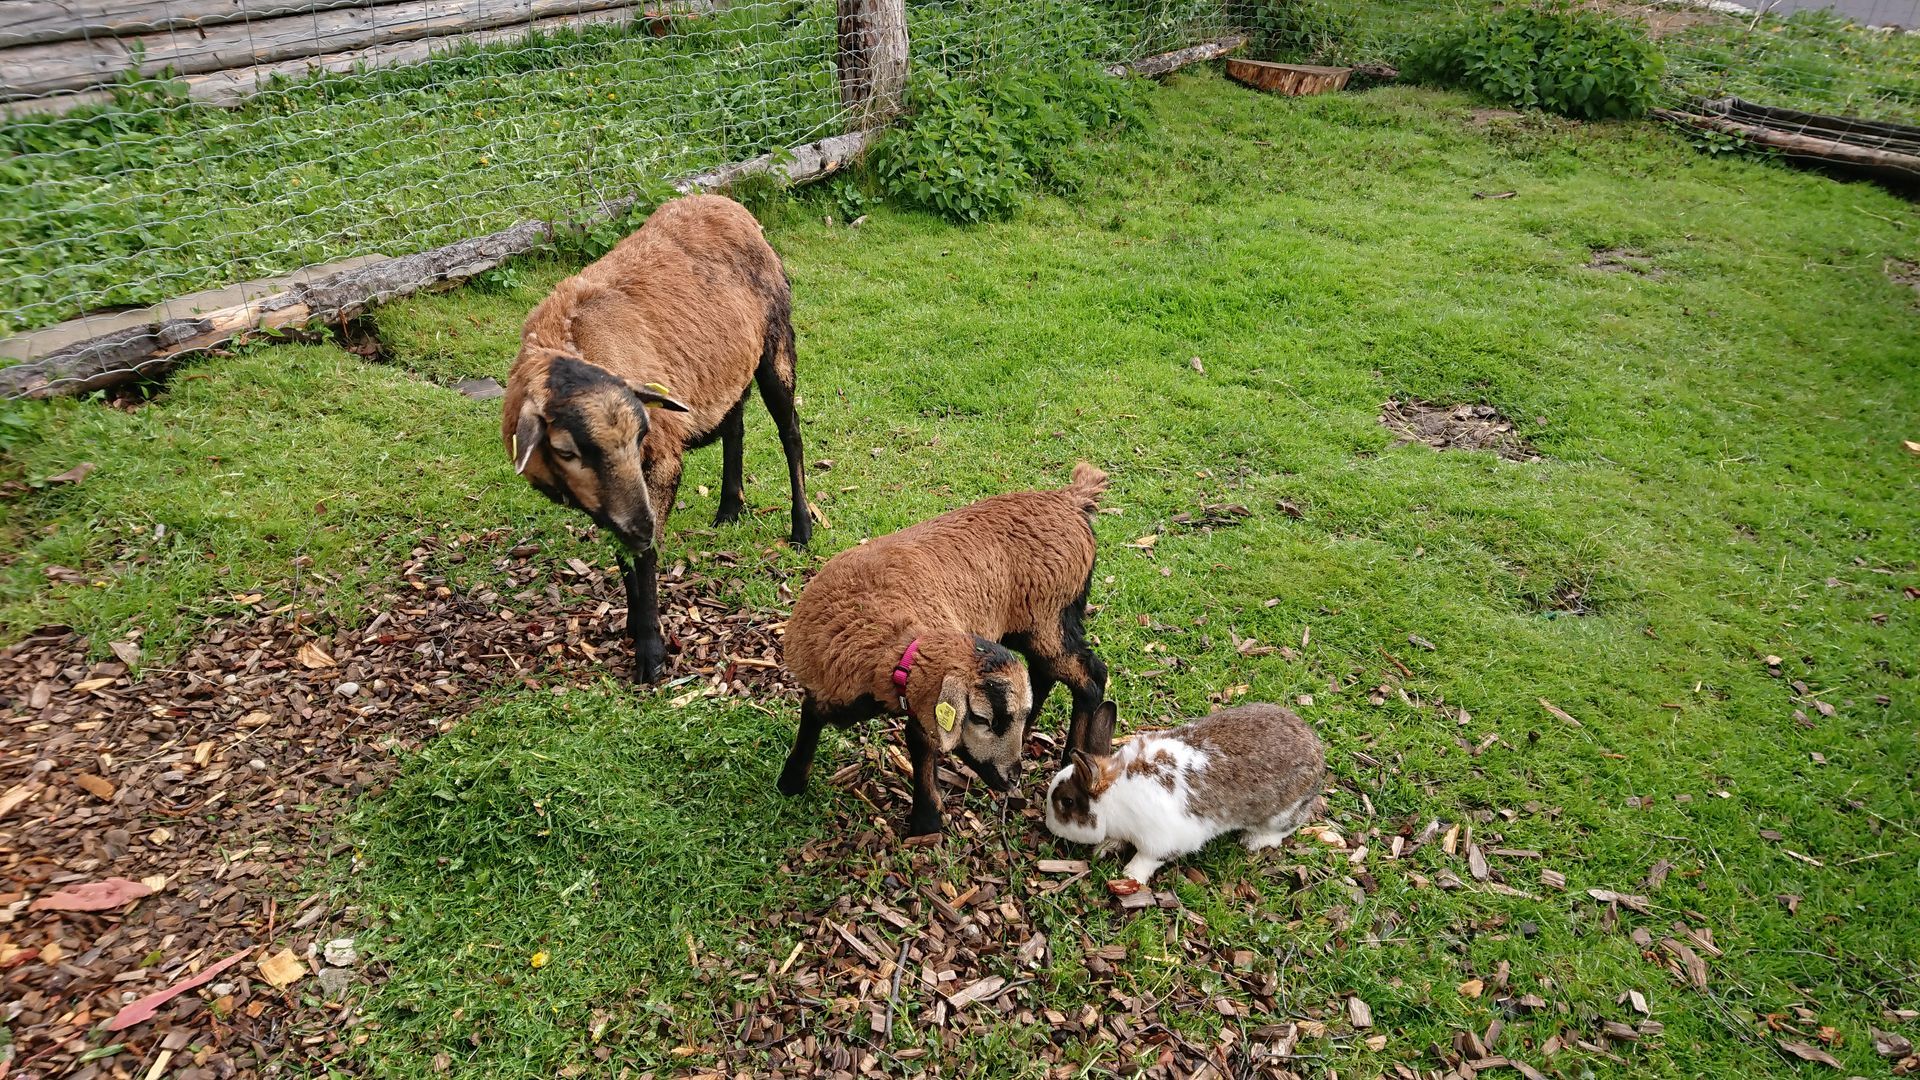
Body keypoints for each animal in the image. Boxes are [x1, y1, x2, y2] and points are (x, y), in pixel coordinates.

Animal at [502, 194, 810, 682]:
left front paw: (650, 651)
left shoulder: (660, 462)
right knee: (735, 426)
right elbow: (624, 554)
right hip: (724, 363)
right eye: (566, 451)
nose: (643, 526)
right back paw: (729, 509)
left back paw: (801, 529)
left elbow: (643, 559)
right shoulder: (606, 498)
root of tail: (726, 202)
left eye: (640, 434)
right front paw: (633, 621)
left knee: (790, 432)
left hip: (775, 341)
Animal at [777, 463, 1112, 837]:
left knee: (1090, 677)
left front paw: (926, 821)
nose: (1012, 778)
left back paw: (1071, 759)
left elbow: (919, 740)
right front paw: (790, 781)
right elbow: (812, 714)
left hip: (1051, 614)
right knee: (1048, 672)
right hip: (1033, 624)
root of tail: (1071, 499)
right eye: (982, 719)